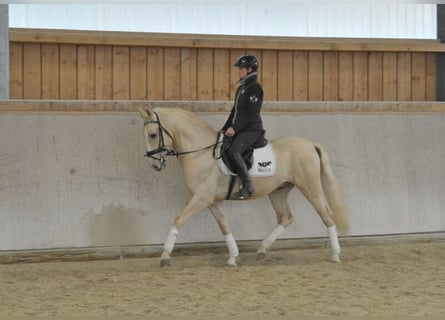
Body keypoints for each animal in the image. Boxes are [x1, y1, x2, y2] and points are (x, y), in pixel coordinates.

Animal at [138, 105, 346, 268]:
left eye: (153, 134)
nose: (155, 165)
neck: (201, 153)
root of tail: (310, 144)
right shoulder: (213, 201)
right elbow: (224, 227)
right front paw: (233, 257)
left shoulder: (201, 198)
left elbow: (178, 220)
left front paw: (164, 257)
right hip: (278, 192)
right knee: (285, 218)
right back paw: (261, 250)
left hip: (310, 188)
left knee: (327, 216)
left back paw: (335, 255)